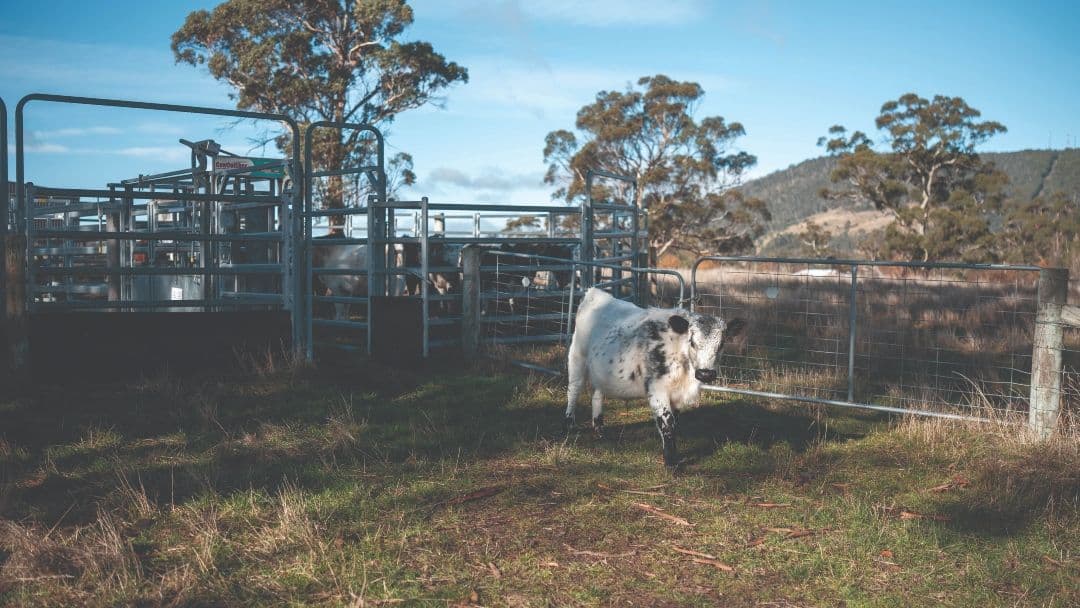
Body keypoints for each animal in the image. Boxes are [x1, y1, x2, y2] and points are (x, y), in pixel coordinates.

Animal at [564, 288, 745, 468]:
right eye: (692, 342)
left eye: (721, 344)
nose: (705, 373)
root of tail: (595, 293)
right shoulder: (657, 389)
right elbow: (667, 422)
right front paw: (671, 462)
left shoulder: (676, 394)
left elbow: (674, 422)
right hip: (577, 358)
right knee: (573, 390)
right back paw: (570, 424)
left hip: (599, 371)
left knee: (597, 394)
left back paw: (599, 428)